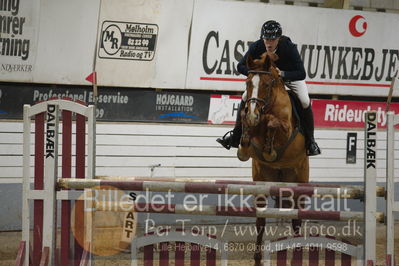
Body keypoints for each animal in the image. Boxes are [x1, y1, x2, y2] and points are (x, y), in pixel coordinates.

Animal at [238, 53, 310, 264]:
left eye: (266, 84)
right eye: (247, 83)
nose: (253, 114)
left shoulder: (286, 129)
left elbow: (273, 122)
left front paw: (269, 146)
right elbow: (247, 124)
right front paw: (245, 141)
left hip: (299, 181)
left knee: (297, 219)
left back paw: (296, 253)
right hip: (264, 180)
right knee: (261, 220)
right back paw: (257, 257)